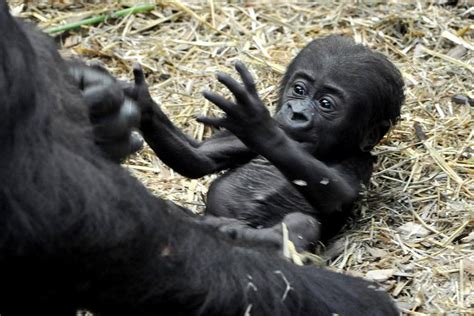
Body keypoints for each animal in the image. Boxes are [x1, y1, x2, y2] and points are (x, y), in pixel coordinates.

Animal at [81, 35, 404, 252]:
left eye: (326, 104)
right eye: (299, 90)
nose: (297, 113)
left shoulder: (359, 161)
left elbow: (337, 195)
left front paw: (260, 127)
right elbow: (198, 160)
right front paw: (141, 101)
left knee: (302, 224)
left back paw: (246, 236)